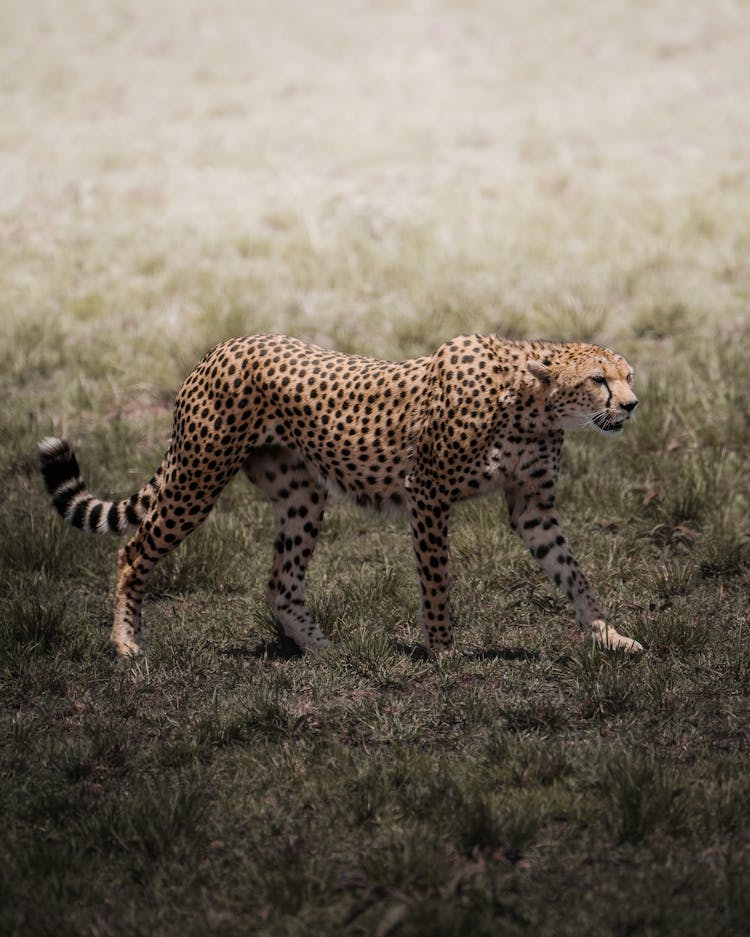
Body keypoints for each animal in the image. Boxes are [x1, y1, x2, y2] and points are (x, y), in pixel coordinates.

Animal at [38, 332, 644, 656]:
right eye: (599, 380)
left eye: (629, 375)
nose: (633, 405)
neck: (528, 402)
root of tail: (223, 345)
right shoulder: (426, 493)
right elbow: (437, 579)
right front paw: (443, 649)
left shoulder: (531, 507)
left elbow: (573, 573)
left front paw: (608, 636)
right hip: (197, 477)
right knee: (131, 552)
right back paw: (125, 642)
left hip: (301, 494)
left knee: (280, 584)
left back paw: (322, 650)